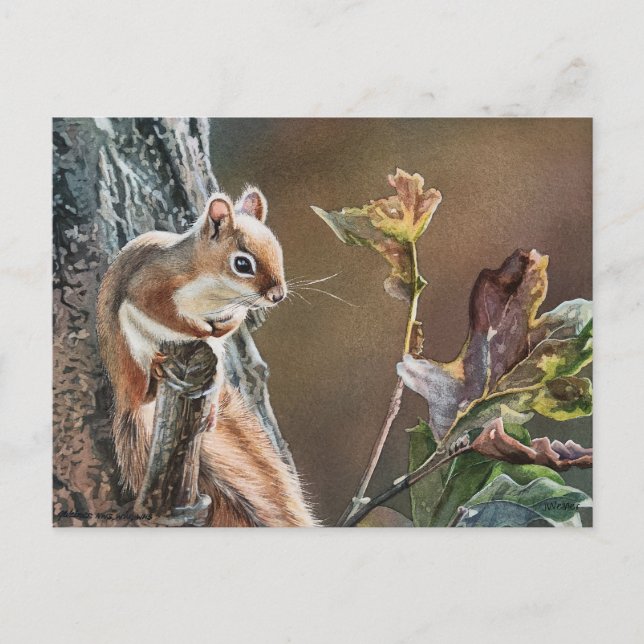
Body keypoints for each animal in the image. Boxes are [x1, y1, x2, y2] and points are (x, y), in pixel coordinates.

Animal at [96, 187, 315, 527]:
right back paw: (158, 369)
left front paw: (223, 326)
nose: (277, 295)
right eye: (242, 264)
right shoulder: (150, 285)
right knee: (146, 379)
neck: (215, 292)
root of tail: (126, 399)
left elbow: (230, 324)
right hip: (131, 356)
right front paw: (197, 328)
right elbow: (158, 310)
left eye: (277, 251)